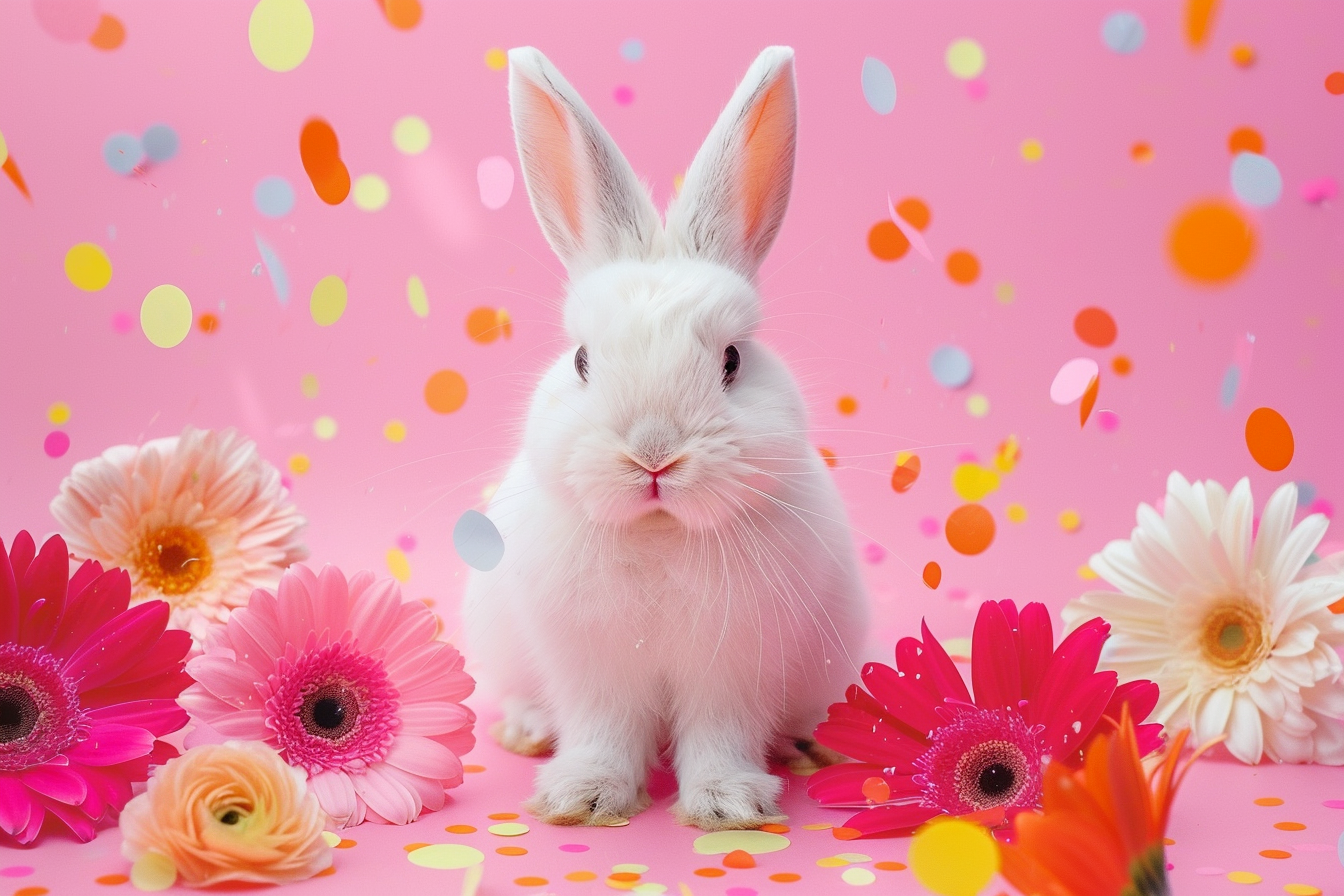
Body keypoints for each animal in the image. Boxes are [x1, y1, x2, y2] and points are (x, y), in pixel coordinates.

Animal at [462, 46, 869, 832]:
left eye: (732, 361)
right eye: (582, 361)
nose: (653, 455)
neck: (659, 531)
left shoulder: (735, 669)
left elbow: (720, 734)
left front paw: (726, 805)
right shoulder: (591, 667)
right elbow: (601, 730)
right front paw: (582, 798)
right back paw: (527, 730)